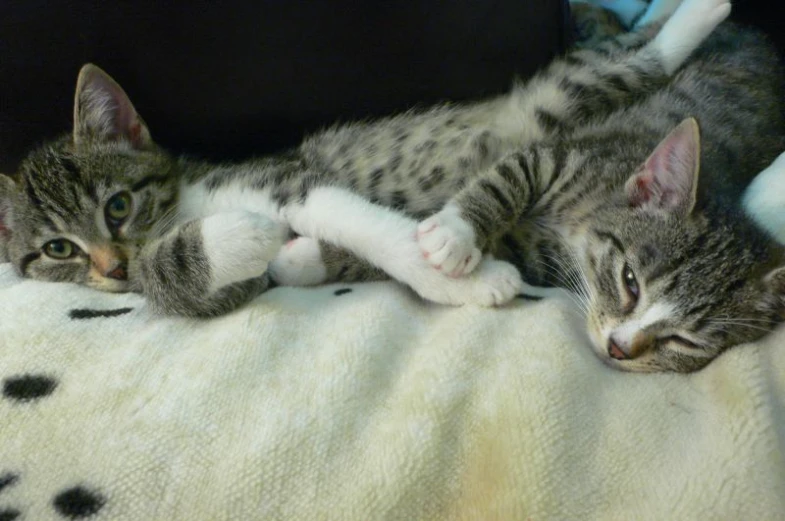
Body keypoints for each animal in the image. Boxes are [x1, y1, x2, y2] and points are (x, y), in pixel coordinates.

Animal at [1, 1, 784, 374]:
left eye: (117, 205)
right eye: (57, 250)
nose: (112, 266)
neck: (182, 198)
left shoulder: (288, 178)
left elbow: (367, 226)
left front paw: (468, 276)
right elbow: (187, 278)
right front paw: (240, 238)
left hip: (564, 98)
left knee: (630, 56)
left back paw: (696, 13)